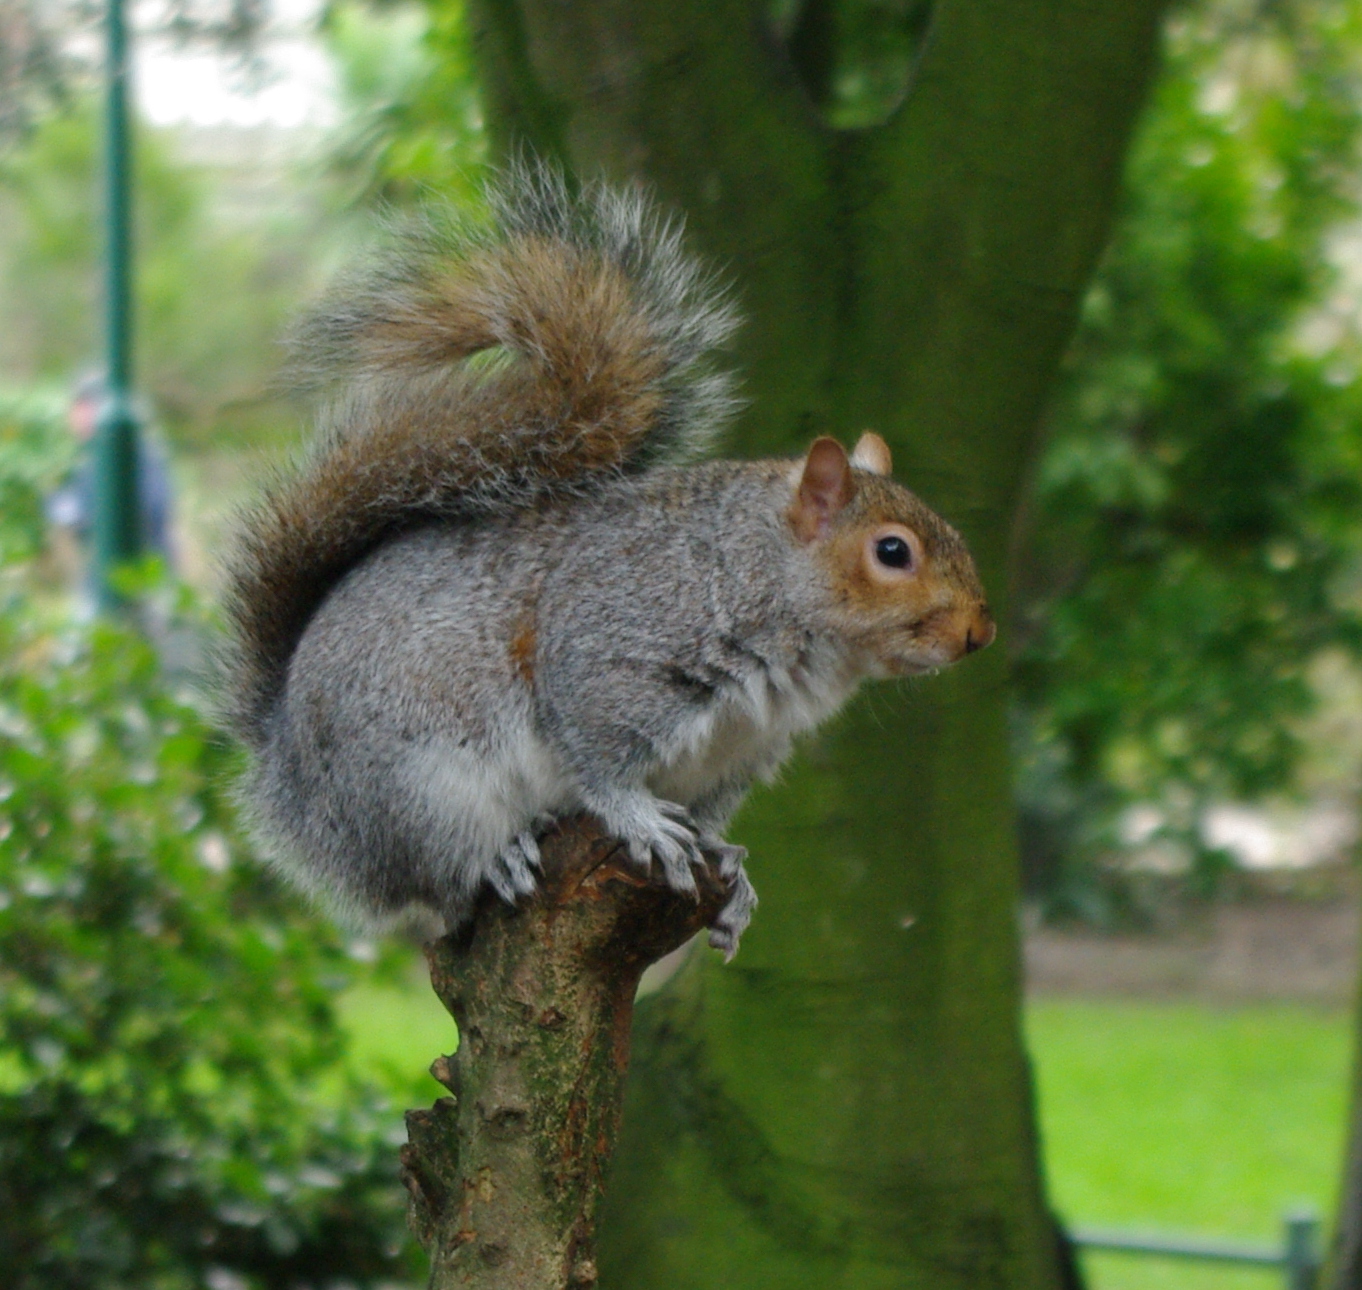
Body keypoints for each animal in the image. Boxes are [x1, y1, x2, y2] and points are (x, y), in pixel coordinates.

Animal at [220, 166, 995, 958]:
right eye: (893, 551)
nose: (980, 633)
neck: (748, 573)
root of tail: (288, 780)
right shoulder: (611, 650)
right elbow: (598, 759)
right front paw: (638, 817)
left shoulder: (738, 752)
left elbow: (710, 820)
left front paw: (731, 874)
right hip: (420, 788)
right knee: (439, 887)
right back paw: (497, 858)